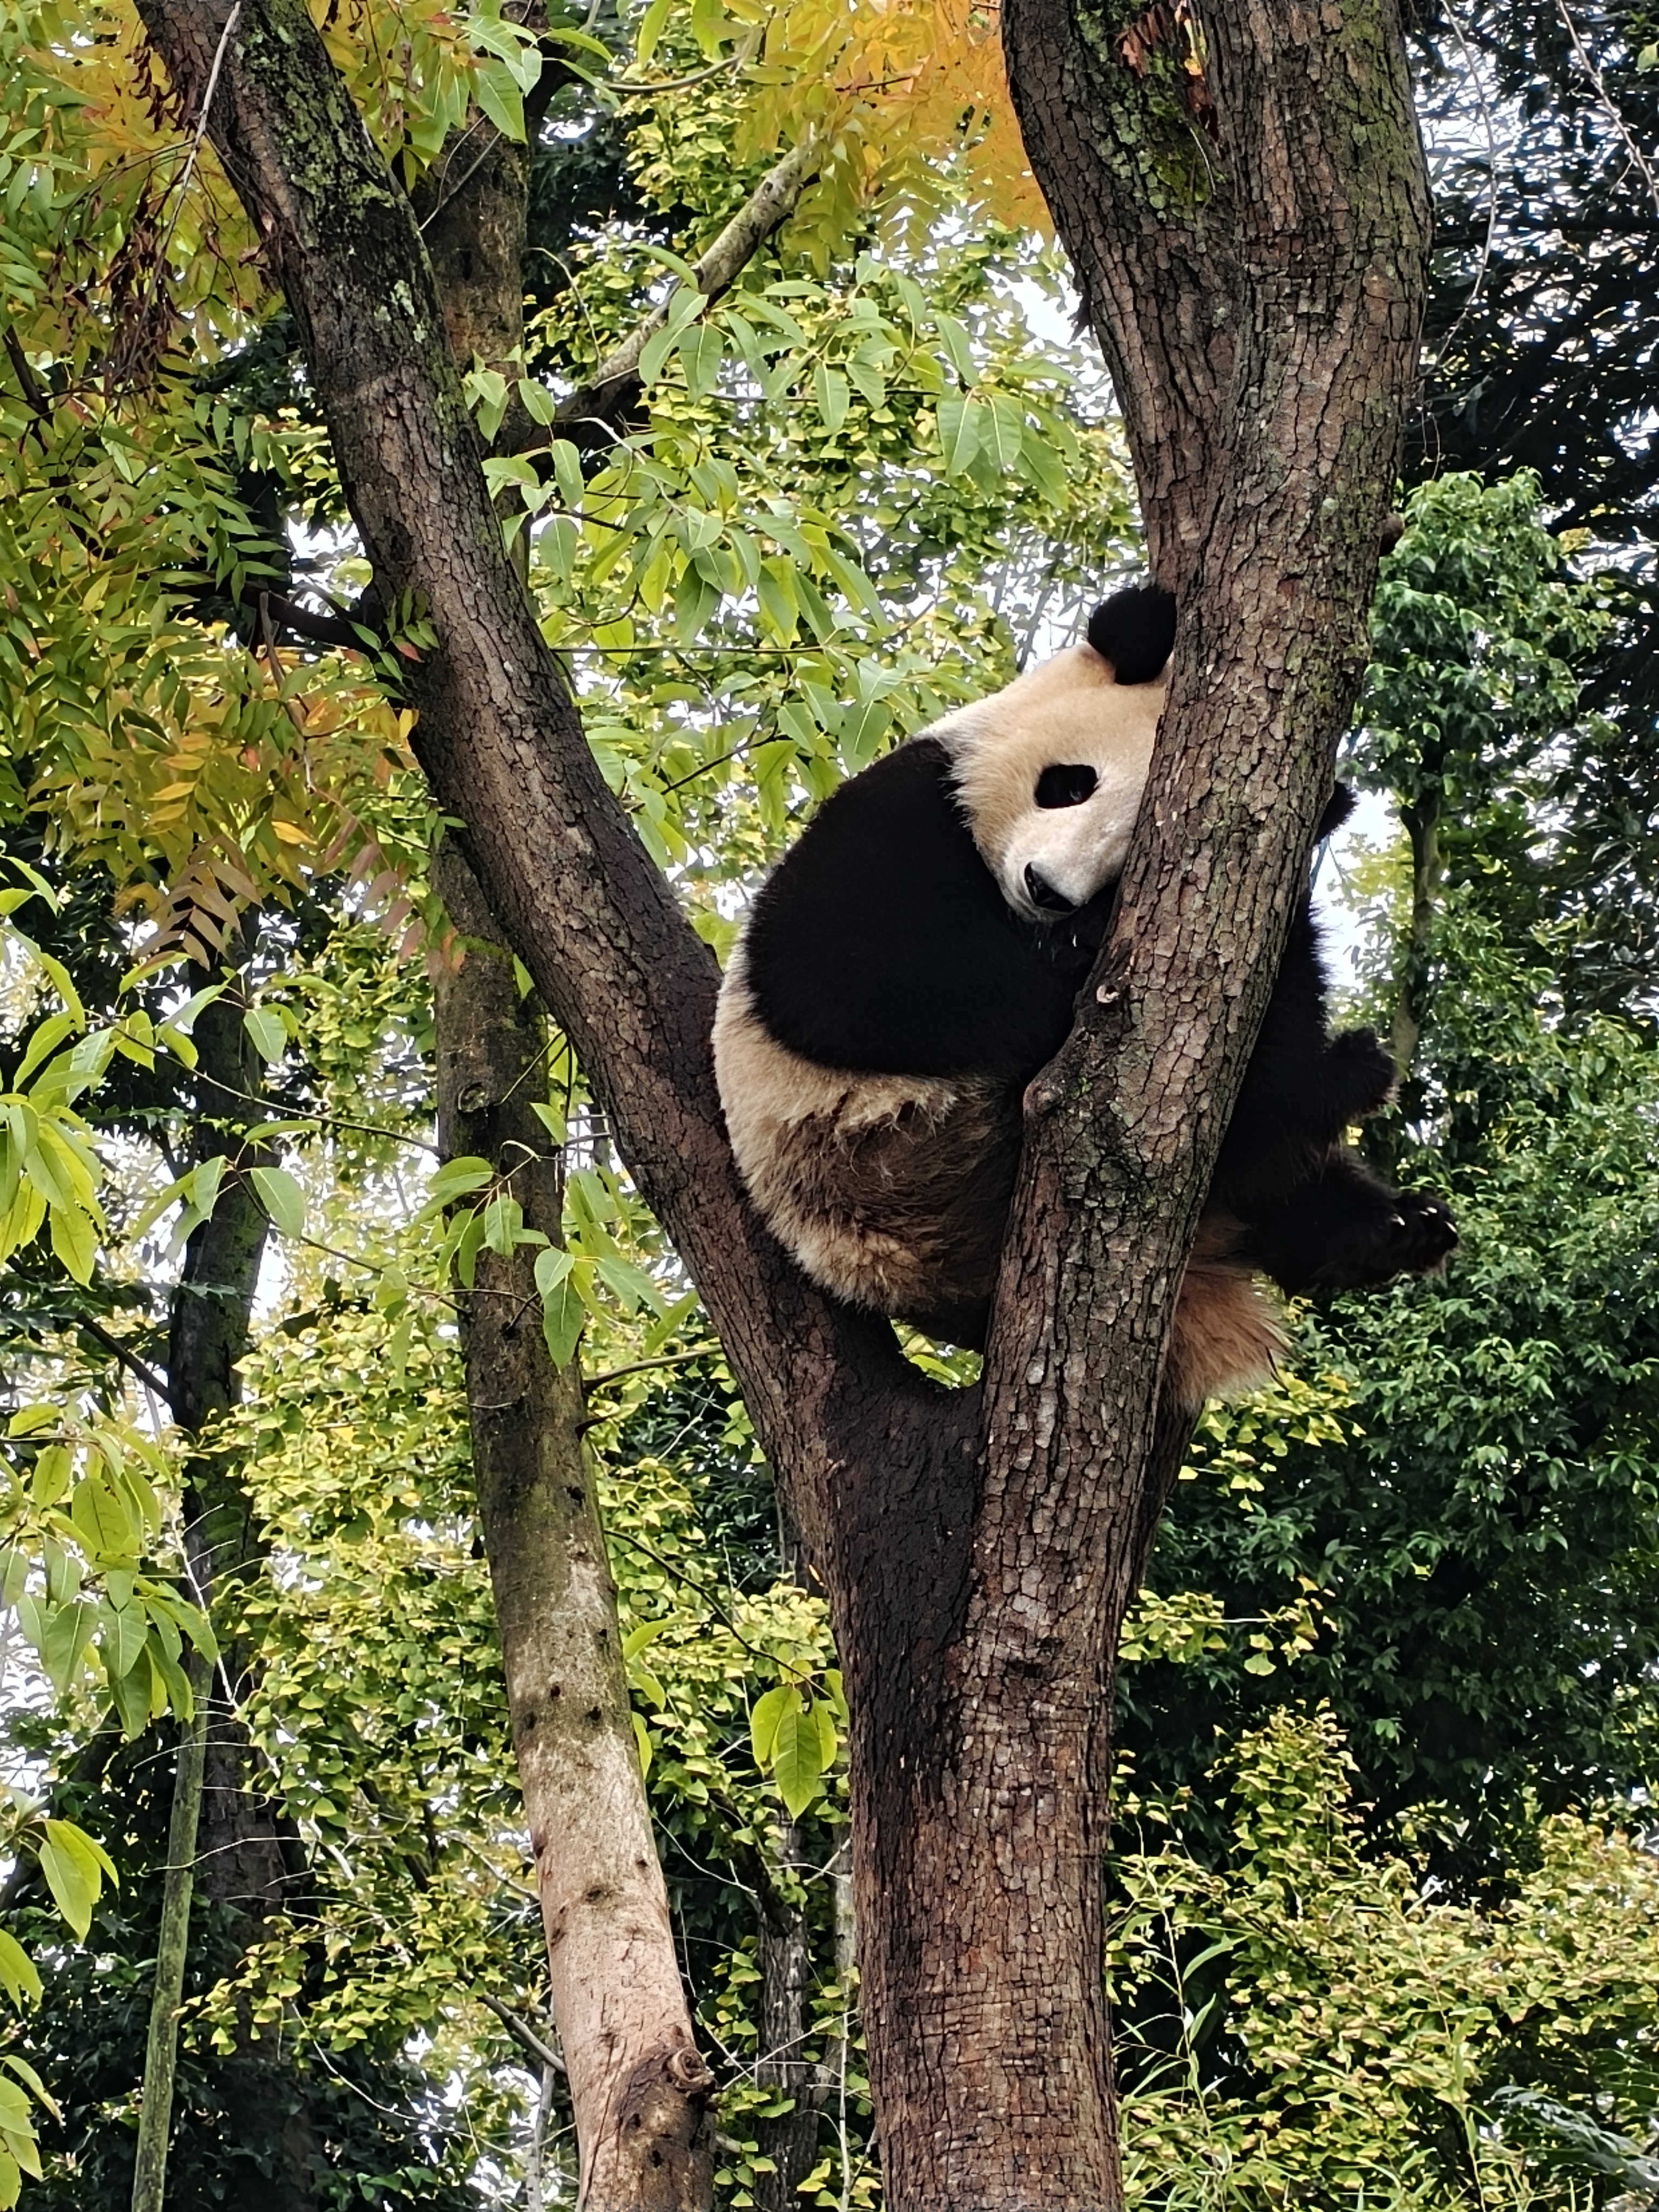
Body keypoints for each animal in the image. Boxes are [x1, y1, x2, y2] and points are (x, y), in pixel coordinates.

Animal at [712, 585, 1457, 1408]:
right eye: (1070, 784)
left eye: (1133, 856)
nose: (1048, 890)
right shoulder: (901, 810)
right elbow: (837, 972)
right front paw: (1075, 951)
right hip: (904, 1161)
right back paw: (1335, 1092)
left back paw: (1390, 1225)